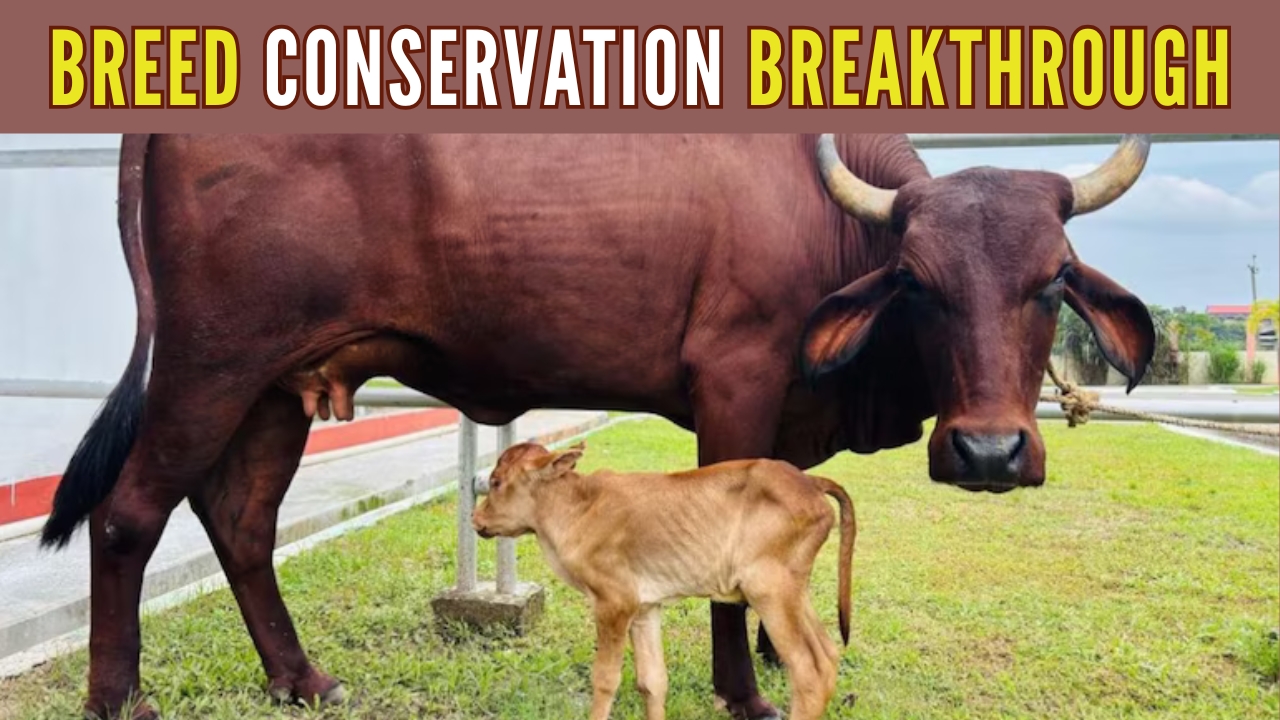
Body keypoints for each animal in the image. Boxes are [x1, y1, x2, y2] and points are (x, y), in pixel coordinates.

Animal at [471, 441, 857, 720]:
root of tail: (810, 481)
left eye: (496, 482)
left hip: (769, 591)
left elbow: (605, 680)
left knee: (807, 669)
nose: (475, 518)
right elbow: (652, 682)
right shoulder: (645, 608)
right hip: (794, 591)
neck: (578, 508)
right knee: (827, 655)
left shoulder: (614, 603)